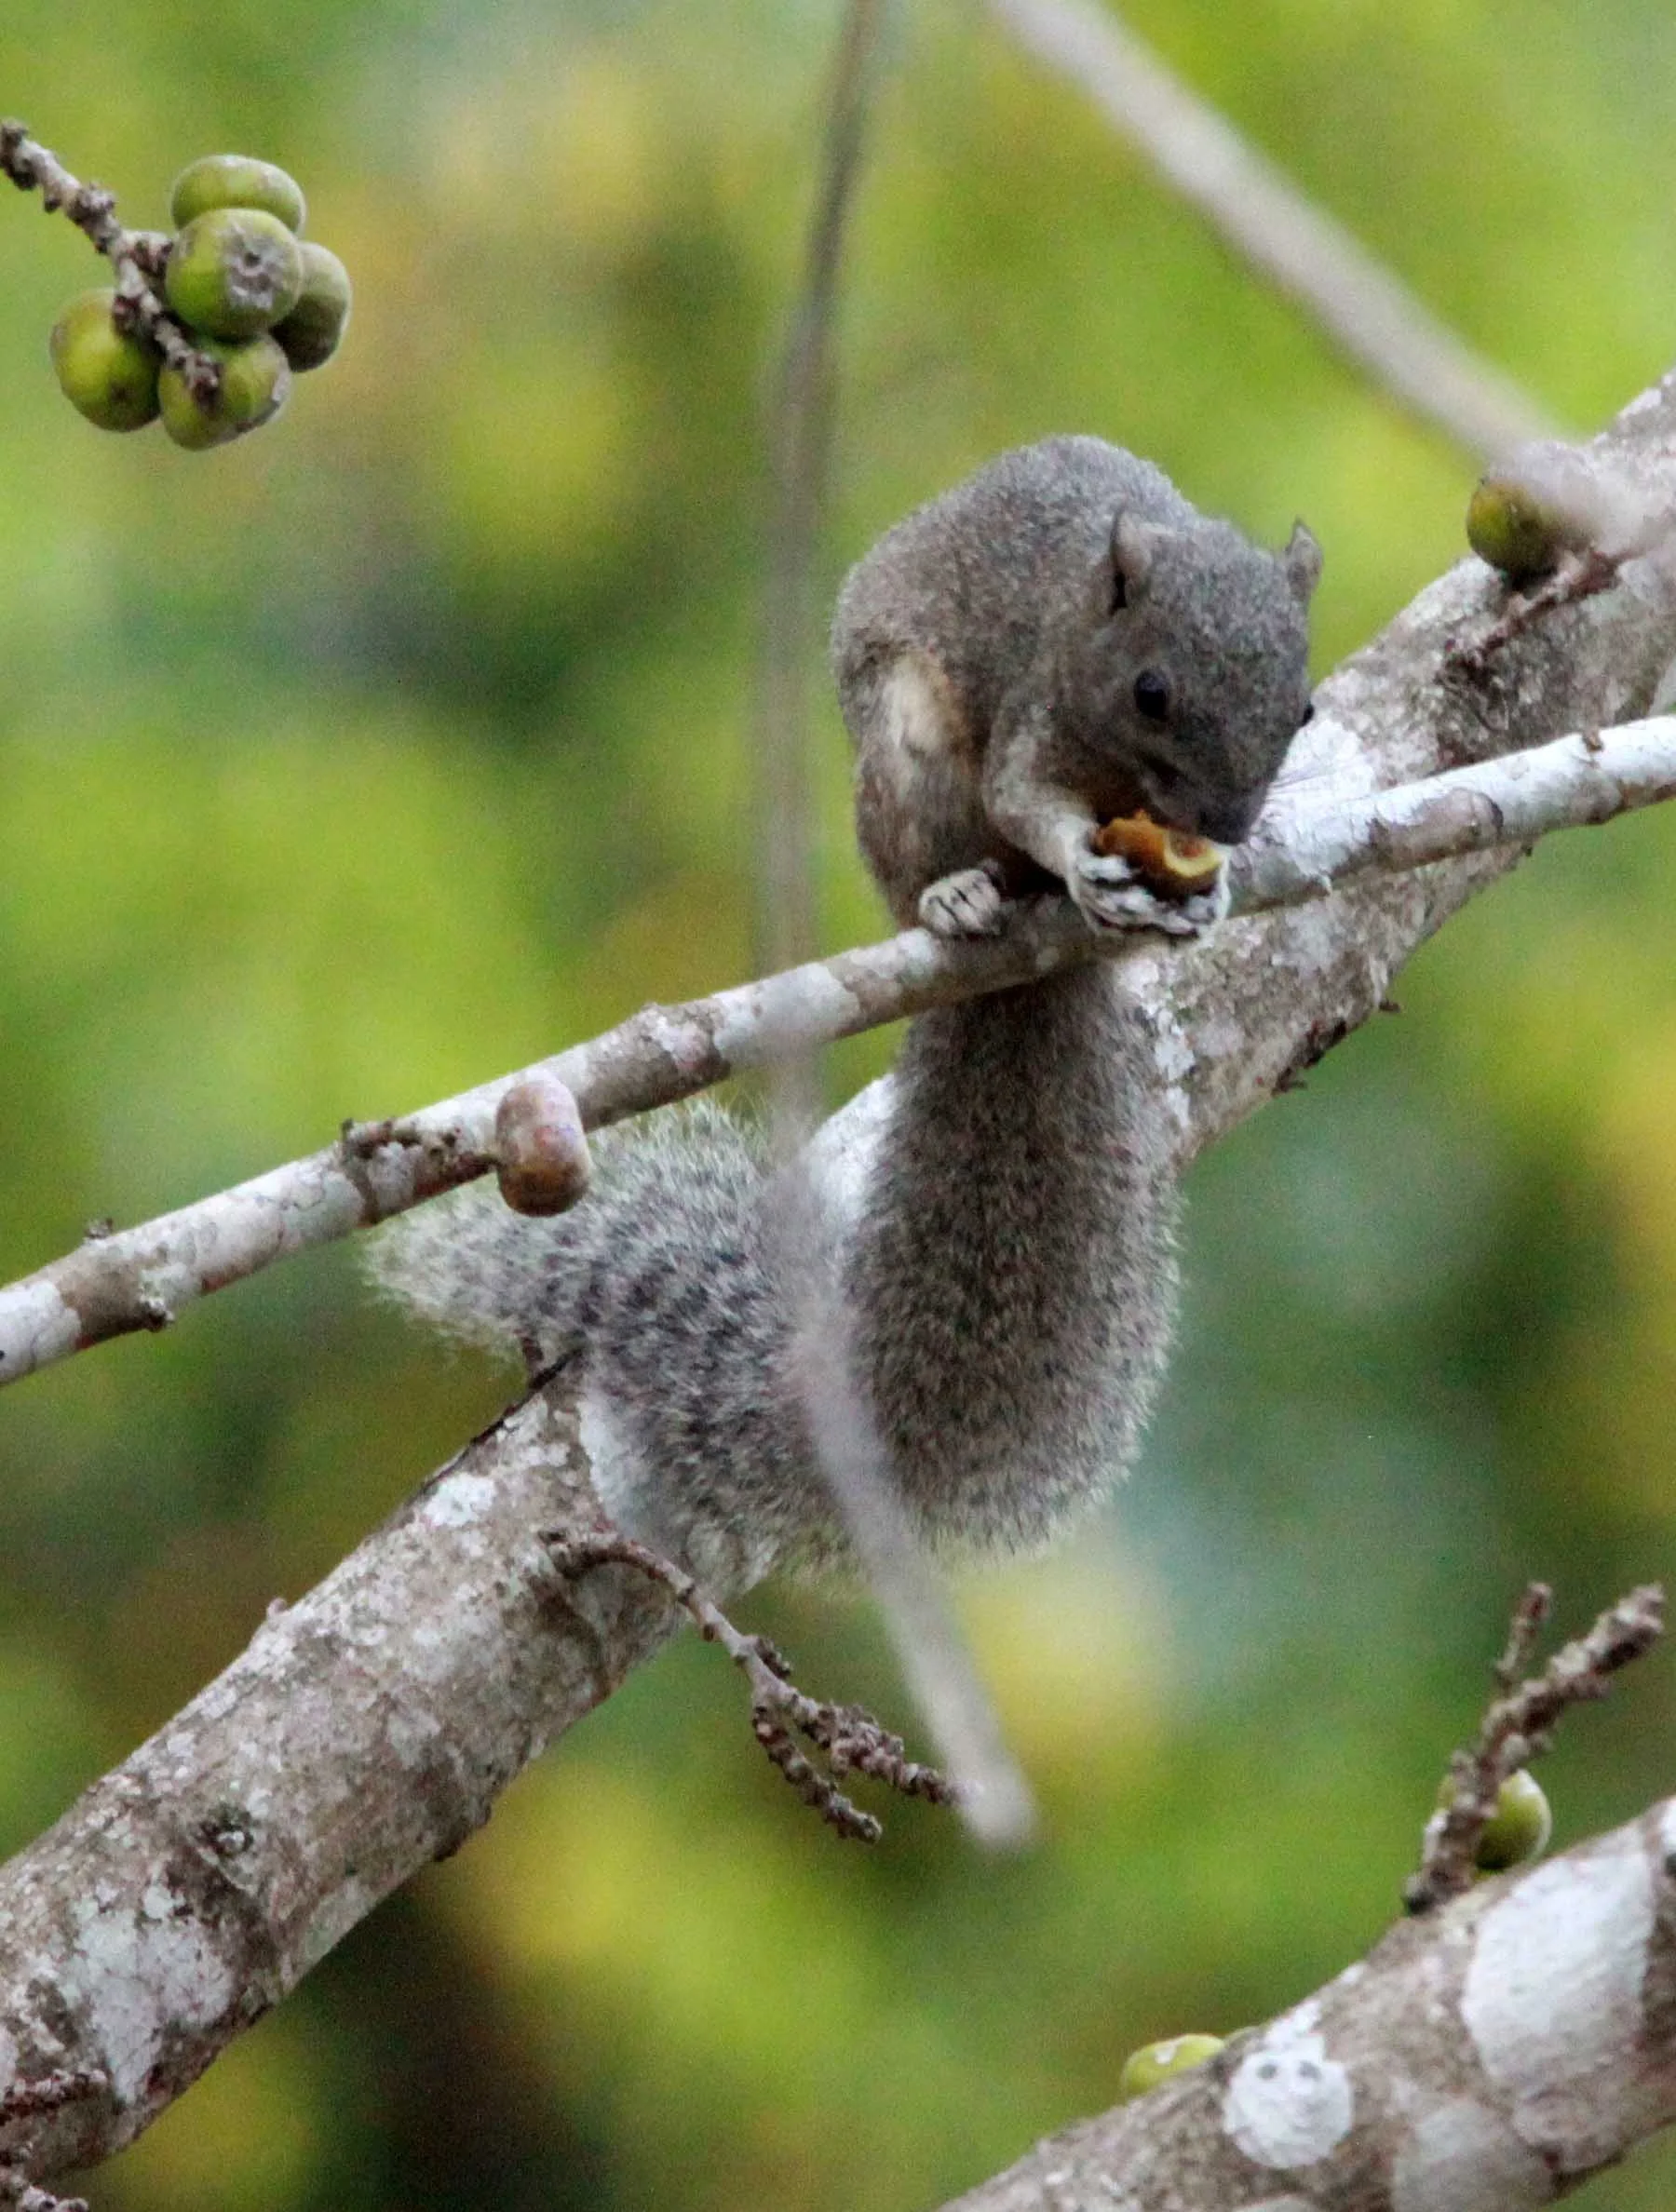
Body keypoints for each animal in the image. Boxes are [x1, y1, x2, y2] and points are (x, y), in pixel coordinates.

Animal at [369, 436, 1320, 1595]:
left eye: (1303, 709)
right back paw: (958, 898)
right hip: (905, 763)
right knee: (947, 857)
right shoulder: (1034, 719)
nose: (1222, 823)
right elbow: (1026, 806)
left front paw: (1213, 887)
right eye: (1152, 691)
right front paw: (1083, 863)